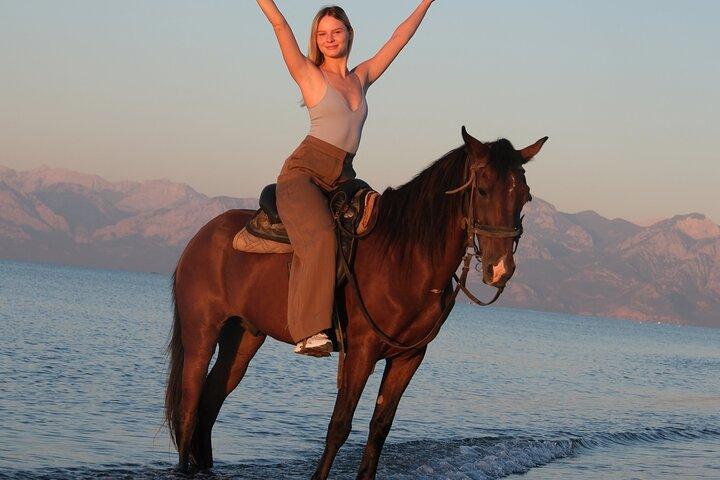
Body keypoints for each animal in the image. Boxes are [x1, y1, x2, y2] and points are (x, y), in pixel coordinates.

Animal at [164, 127, 547, 479]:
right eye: (482, 190)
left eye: (525, 196)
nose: (501, 269)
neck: (404, 257)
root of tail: (201, 236)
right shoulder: (361, 353)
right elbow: (339, 426)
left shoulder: (408, 358)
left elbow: (379, 429)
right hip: (201, 334)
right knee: (189, 407)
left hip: (243, 338)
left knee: (210, 403)